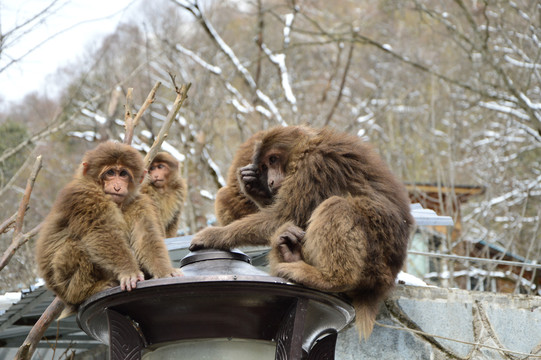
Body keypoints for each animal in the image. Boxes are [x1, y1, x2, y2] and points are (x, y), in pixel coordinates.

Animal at [37, 141, 184, 316]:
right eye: (110, 172)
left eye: (123, 174)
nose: (117, 186)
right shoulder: (84, 196)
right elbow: (101, 232)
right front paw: (129, 272)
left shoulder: (138, 201)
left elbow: (145, 236)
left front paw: (164, 271)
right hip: (63, 286)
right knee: (74, 246)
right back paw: (86, 291)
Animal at [190, 126, 414, 340]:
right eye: (264, 167)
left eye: (273, 159)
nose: (270, 181)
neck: (305, 148)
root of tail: (383, 284)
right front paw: (254, 188)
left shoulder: (314, 164)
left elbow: (282, 216)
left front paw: (214, 235)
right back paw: (291, 255)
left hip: (373, 261)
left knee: (337, 206)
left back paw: (332, 279)